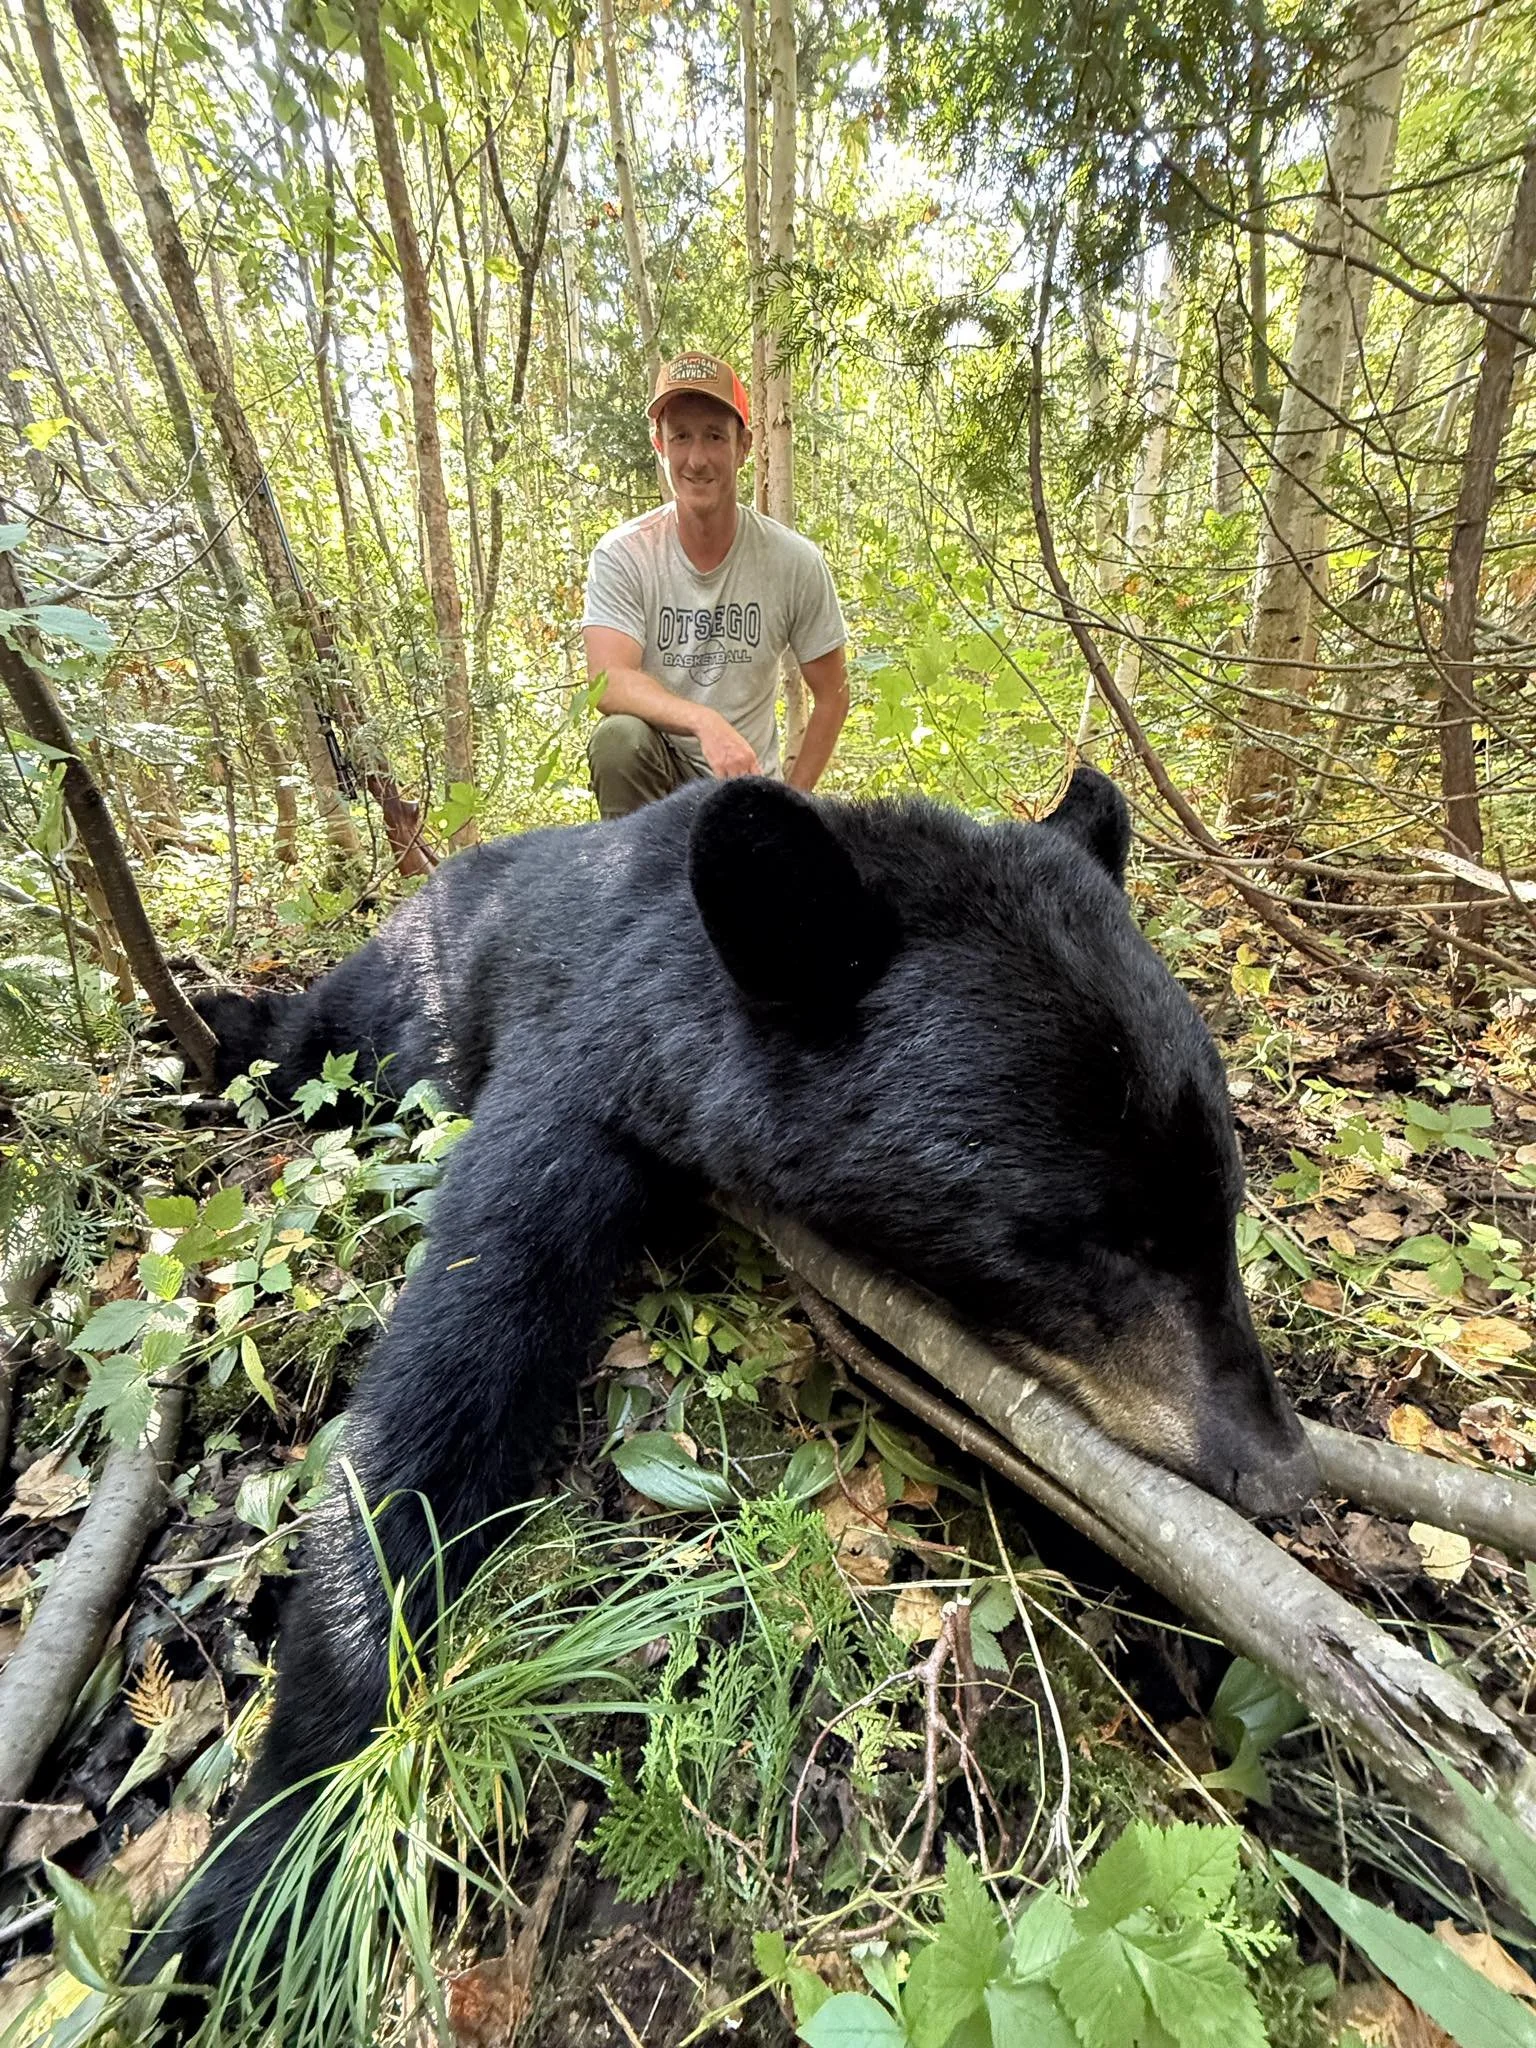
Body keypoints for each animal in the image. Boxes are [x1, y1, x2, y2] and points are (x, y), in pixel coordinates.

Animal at [153, 767, 1318, 1983]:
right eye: (1097, 1237)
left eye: (1225, 1202)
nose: (1280, 1467)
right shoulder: (579, 1066)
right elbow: (455, 1360)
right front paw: (275, 1841)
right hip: (396, 987)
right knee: (317, 1036)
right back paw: (221, 1026)